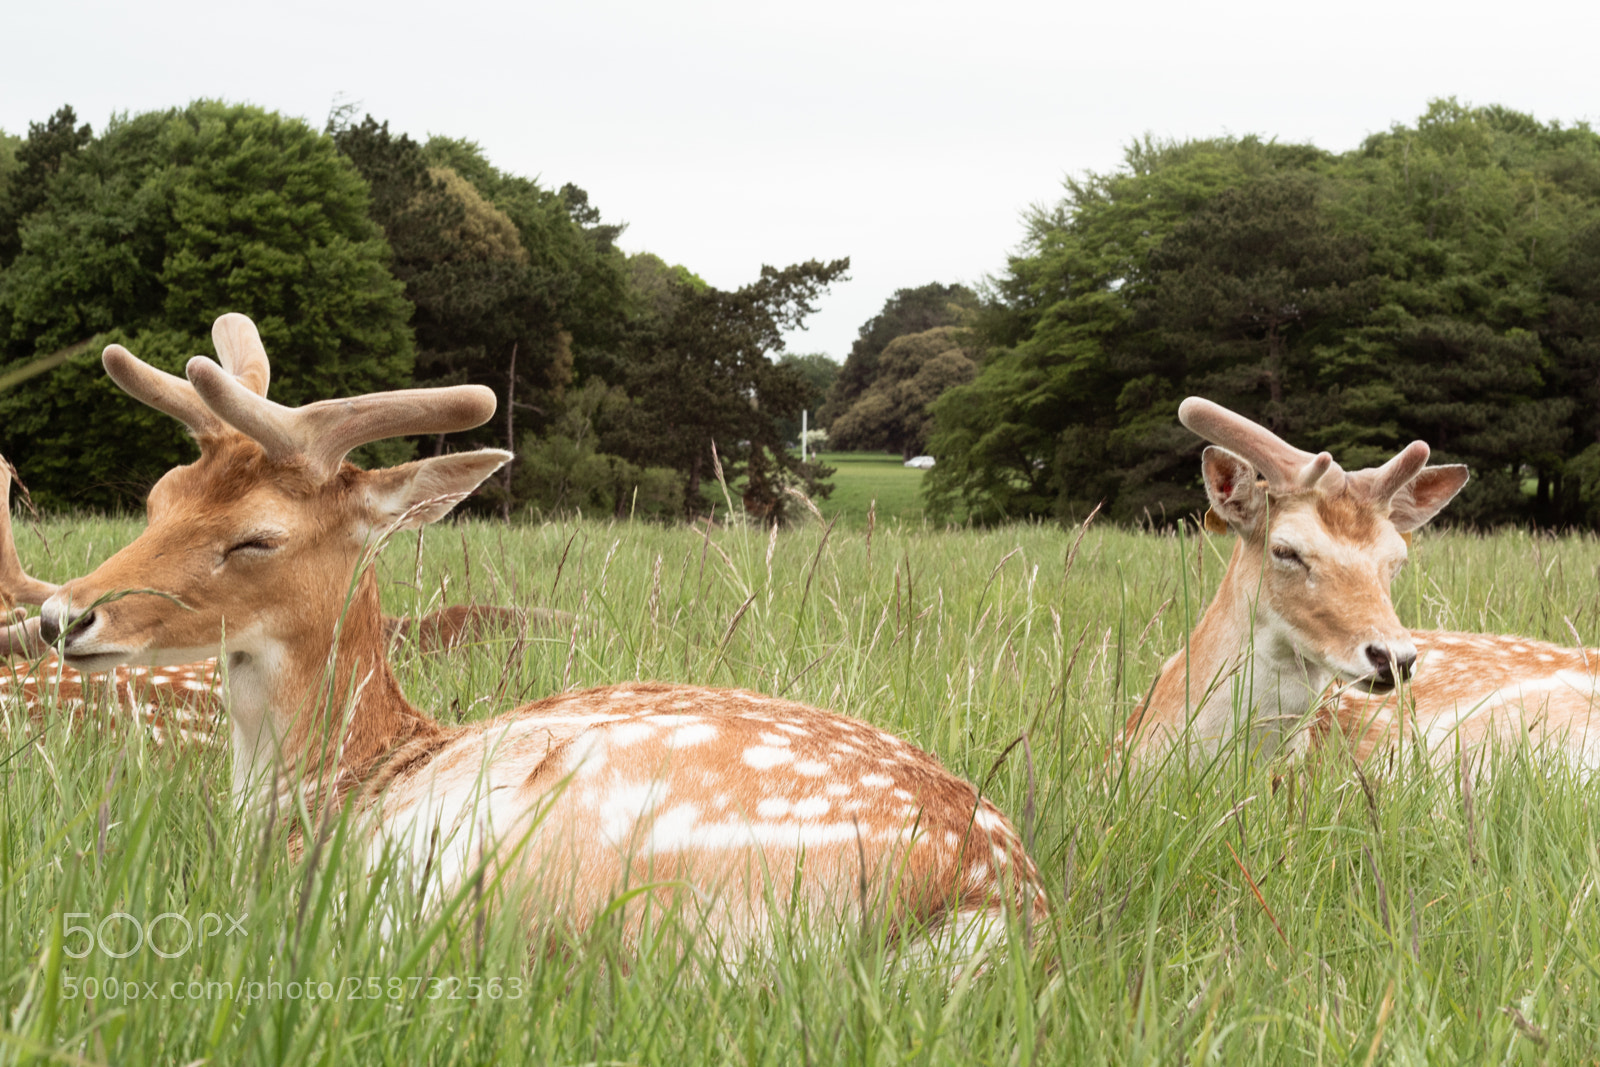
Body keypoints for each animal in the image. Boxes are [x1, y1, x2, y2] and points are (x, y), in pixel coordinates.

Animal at [35, 313, 1045, 956]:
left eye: (257, 537)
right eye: (160, 496)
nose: (61, 614)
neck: (333, 779)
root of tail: (980, 905)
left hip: (567, 859)